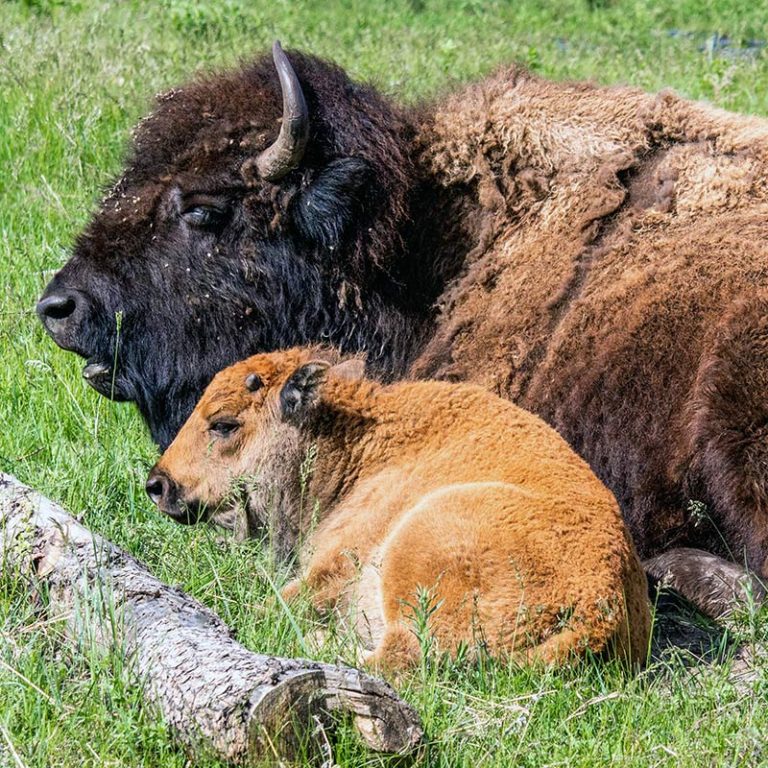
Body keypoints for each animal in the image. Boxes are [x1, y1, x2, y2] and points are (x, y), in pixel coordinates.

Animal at [144, 344, 648, 668]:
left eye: (223, 423)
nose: (157, 484)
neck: (358, 441)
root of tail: (599, 604)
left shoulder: (336, 563)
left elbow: (275, 602)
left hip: (419, 549)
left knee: (395, 659)